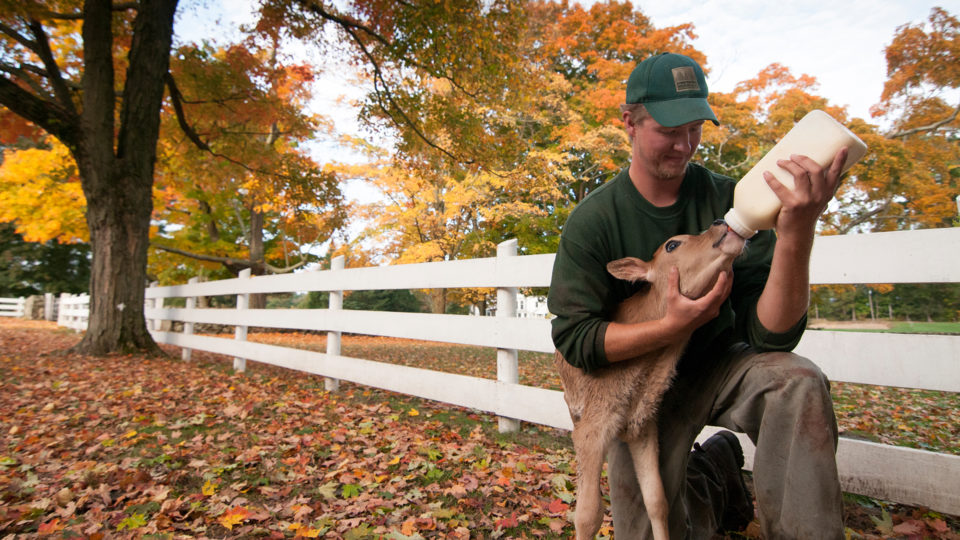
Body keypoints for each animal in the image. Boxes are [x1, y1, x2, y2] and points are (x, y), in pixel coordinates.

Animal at [556, 220, 752, 540]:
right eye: (672, 244)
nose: (720, 222)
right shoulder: (592, 429)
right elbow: (587, 515)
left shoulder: (643, 425)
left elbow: (657, 500)